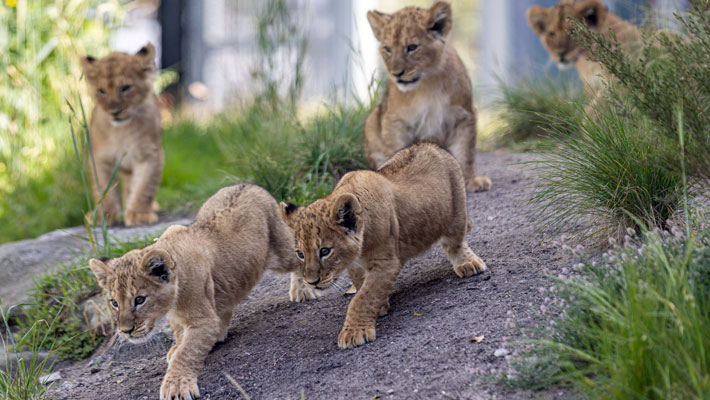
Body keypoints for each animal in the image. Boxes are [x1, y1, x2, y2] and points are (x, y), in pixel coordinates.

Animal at [80, 43, 163, 226]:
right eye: (102, 91)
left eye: (125, 88)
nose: (114, 112)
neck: (122, 131)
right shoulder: (100, 158)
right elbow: (103, 188)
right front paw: (104, 216)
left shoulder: (150, 154)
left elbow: (145, 186)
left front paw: (139, 214)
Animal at [89, 184, 314, 400]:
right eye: (114, 303)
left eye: (139, 299)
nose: (125, 331)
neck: (172, 302)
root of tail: (249, 185)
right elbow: (179, 333)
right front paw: (177, 346)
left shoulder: (204, 320)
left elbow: (187, 353)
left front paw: (176, 386)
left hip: (280, 251)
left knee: (298, 255)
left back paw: (304, 287)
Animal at [280, 143, 487, 349]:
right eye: (300, 253)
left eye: (325, 251)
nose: (311, 282)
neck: (360, 249)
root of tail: (431, 145)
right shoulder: (356, 265)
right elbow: (361, 285)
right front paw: (379, 306)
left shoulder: (386, 263)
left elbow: (363, 298)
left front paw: (354, 332)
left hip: (457, 211)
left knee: (454, 243)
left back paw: (468, 263)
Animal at [364, 1, 491, 192]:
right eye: (388, 49)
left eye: (412, 47)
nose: (396, 74)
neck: (428, 84)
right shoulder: (394, 120)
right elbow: (396, 152)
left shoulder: (464, 115)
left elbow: (465, 152)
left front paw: (470, 181)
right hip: (373, 119)